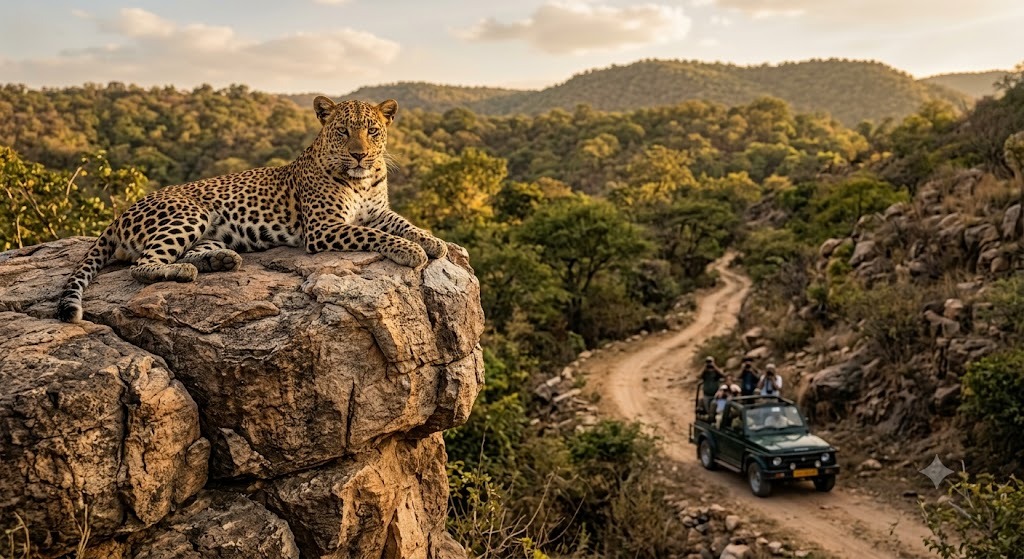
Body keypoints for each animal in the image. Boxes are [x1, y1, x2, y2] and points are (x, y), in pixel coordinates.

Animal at [56, 96, 447, 323]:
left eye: (372, 131)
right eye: (342, 132)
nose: (359, 155)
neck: (362, 180)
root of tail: (121, 214)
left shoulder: (378, 210)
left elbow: (403, 224)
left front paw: (432, 242)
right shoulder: (324, 227)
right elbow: (374, 235)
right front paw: (411, 251)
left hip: (210, 232)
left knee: (187, 252)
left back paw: (221, 261)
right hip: (189, 213)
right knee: (141, 264)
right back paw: (183, 272)